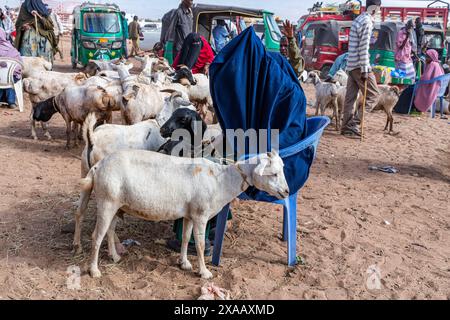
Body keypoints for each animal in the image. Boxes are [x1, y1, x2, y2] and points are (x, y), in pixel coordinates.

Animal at [74, 149, 288, 278]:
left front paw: (184, 263)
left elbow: (185, 238)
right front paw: (204, 272)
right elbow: (200, 245)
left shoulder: (189, 214)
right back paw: (94, 270)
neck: (222, 180)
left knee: (109, 232)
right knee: (96, 236)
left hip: (116, 204)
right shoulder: (201, 215)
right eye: (273, 173)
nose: (286, 191)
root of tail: (98, 166)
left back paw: (114, 257)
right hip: (106, 202)